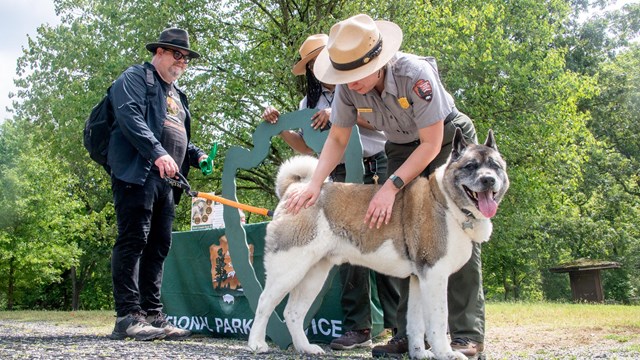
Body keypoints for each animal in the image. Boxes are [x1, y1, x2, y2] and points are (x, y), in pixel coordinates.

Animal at [248, 128, 508, 358]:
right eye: (470, 166)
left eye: (495, 166)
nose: (488, 180)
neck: (447, 202)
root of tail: (297, 188)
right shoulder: (434, 275)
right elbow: (437, 320)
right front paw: (445, 353)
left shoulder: (419, 279)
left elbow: (416, 323)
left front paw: (419, 353)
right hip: (289, 268)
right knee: (264, 302)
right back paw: (257, 344)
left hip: (314, 273)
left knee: (293, 312)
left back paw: (306, 348)